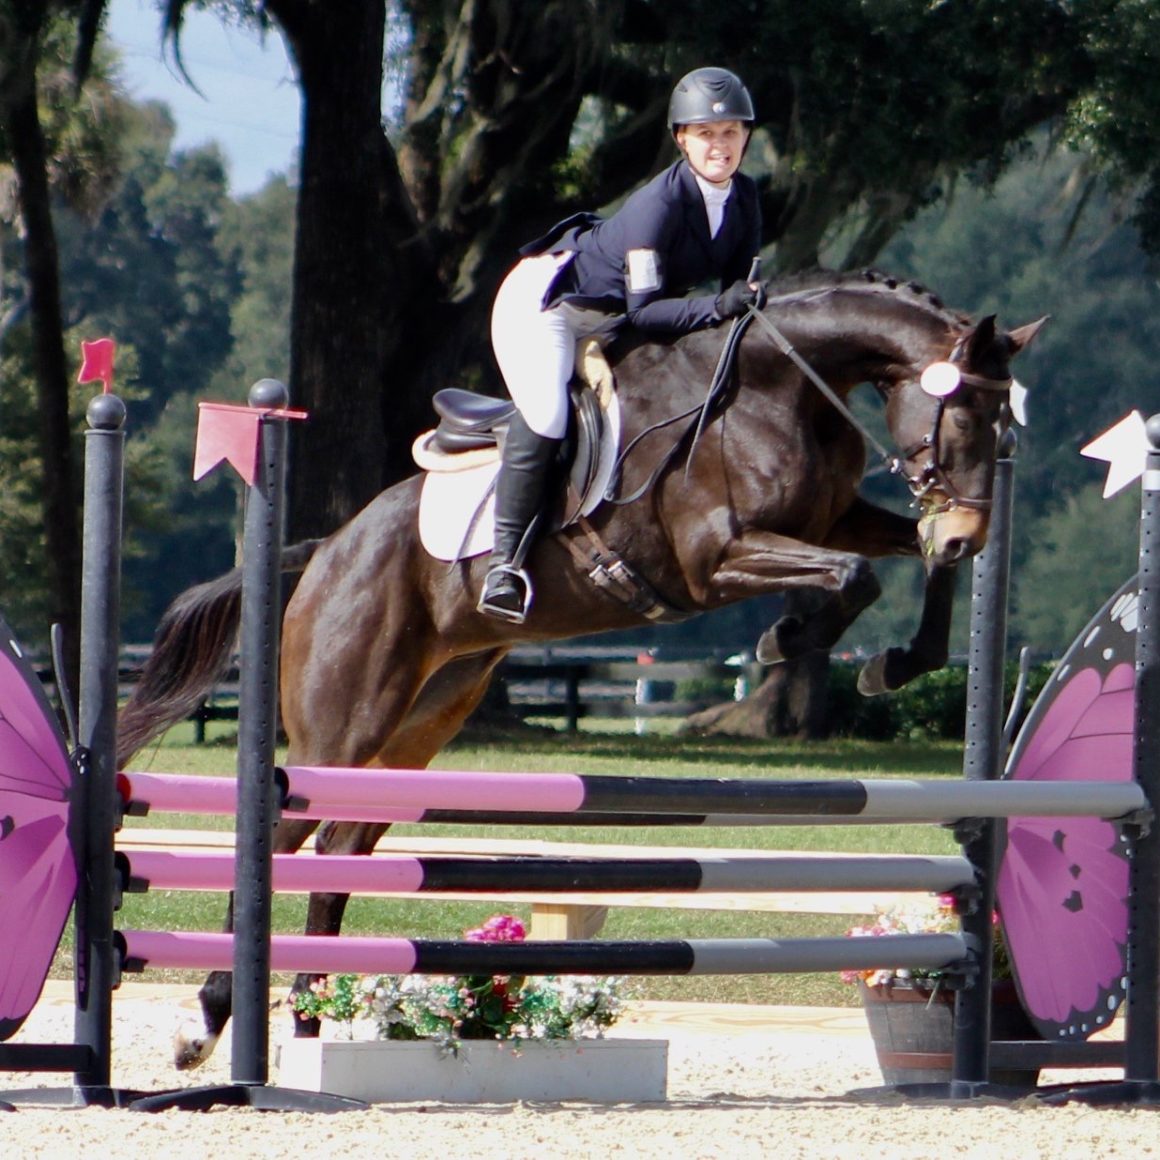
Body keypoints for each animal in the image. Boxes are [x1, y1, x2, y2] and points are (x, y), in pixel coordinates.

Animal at [115, 269, 1045, 1067]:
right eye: (966, 420)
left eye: (1007, 432)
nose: (969, 529)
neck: (781, 383)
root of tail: (324, 553)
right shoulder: (716, 558)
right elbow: (854, 575)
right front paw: (788, 638)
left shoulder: (837, 517)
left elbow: (904, 559)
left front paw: (898, 658)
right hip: (344, 726)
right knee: (283, 834)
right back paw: (210, 1024)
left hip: (418, 726)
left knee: (339, 849)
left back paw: (311, 1021)